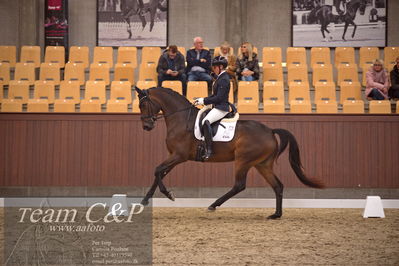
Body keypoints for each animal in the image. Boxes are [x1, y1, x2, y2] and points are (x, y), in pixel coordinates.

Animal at [136, 87, 326, 218]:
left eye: (143, 104)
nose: (146, 126)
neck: (181, 119)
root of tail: (270, 131)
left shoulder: (179, 156)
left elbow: (157, 170)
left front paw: (169, 195)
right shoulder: (173, 156)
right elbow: (159, 173)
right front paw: (145, 200)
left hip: (243, 160)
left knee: (239, 185)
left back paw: (213, 205)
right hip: (262, 164)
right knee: (277, 185)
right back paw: (276, 215)